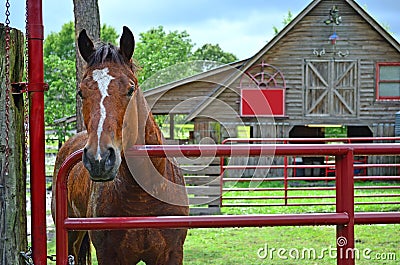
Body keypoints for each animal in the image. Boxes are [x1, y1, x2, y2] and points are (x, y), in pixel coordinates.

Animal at [51, 25, 189, 264]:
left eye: (130, 89)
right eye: (81, 91)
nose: (99, 159)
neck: (143, 194)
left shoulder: (171, 254)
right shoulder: (109, 255)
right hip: (70, 239)